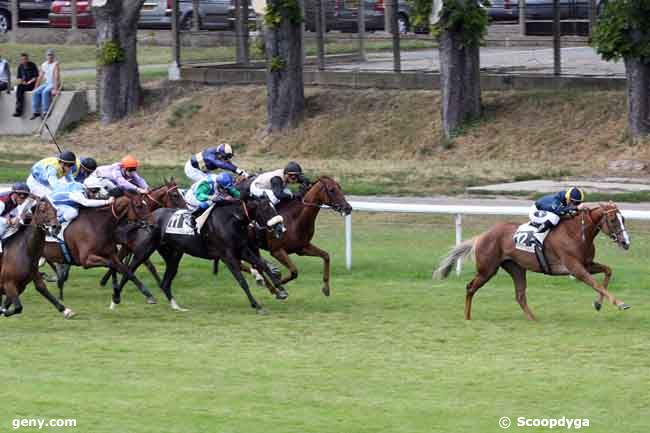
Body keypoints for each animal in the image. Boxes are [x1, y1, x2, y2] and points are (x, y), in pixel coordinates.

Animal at [119, 197, 286, 312]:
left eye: (274, 208)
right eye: (266, 209)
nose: (281, 228)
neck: (232, 219)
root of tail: (147, 217)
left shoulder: (242, 250)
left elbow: (262, 264)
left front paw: (281, 290)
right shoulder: (227, 256)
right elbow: (242, 281)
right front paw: (257, 305)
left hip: (173, 255)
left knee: (165, 283)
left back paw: (176, 306)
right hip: (144, 250)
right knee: (129, 270)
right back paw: (118, 297)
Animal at [432, 202, 632, 320]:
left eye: (623, 219)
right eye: (613, 219)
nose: (626, 243)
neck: (576, 233)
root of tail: (482, 236)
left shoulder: (586, 264)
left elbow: (608, 271)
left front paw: (598, 304)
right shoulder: (576, 269)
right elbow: (596, 284)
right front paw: (620, 303)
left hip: (516, 268)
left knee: (520, 295)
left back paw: (533, 319)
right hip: (487, 269)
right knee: (470, 287)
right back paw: (467, 317)